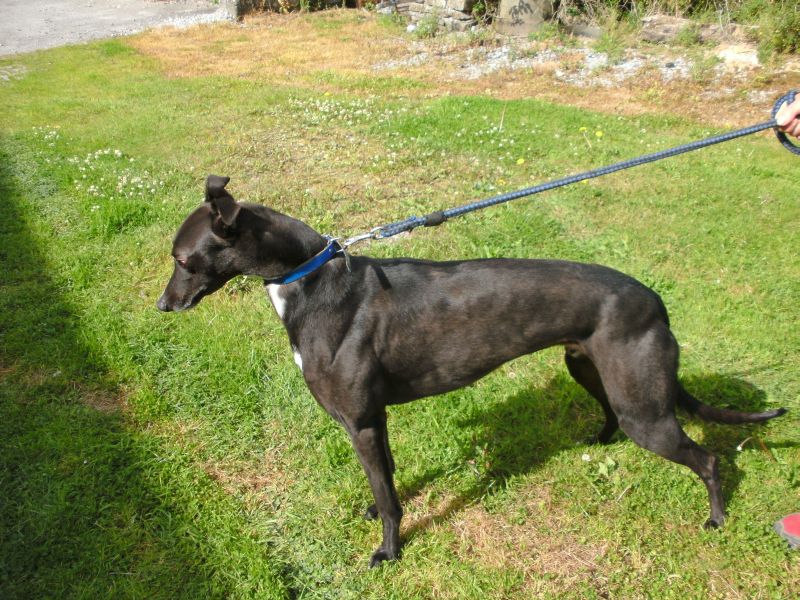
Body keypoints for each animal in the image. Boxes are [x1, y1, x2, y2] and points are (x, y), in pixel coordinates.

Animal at [157, 175, 786, 567]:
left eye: (184, 259)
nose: (163, 307)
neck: (311, 281)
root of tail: (656, 301)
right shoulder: (374, 420)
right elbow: (386, 480)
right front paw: (378, 511)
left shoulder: (360, 419)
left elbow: (389, 497)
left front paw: (389, 552)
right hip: (591, 367)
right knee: (609, 410)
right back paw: (600, 440)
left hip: (646, 409)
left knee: (708, 459)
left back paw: (716, 519)